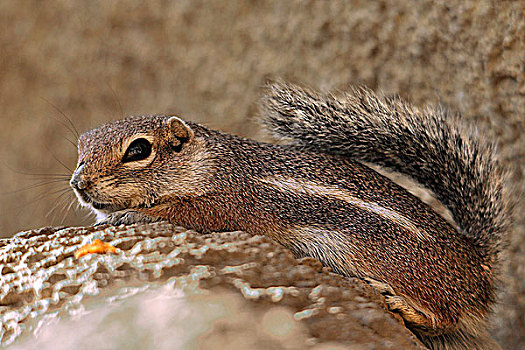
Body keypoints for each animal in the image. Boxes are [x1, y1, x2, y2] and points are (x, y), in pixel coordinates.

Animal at [69, 80, 508, 348]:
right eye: (82, 144)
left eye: (138, 150)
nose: (78, 184)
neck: (211, 163)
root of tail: (478, 263)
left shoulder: (225, 204)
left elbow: (181, 212)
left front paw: (129, 216)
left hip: (393, 263)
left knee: (447, 316)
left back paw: (402, 305)